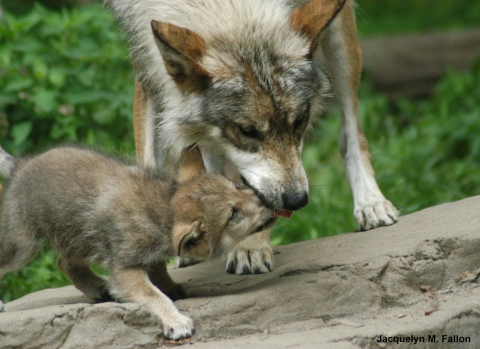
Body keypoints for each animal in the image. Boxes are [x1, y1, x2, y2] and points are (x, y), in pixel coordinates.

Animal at [108, 0, 398, 274]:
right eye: (247, 131)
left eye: (299, 122)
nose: (297, 200)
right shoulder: (146, 67)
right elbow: (147, 168)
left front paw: (250, 246)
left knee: (351, 131)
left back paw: (371, 204)